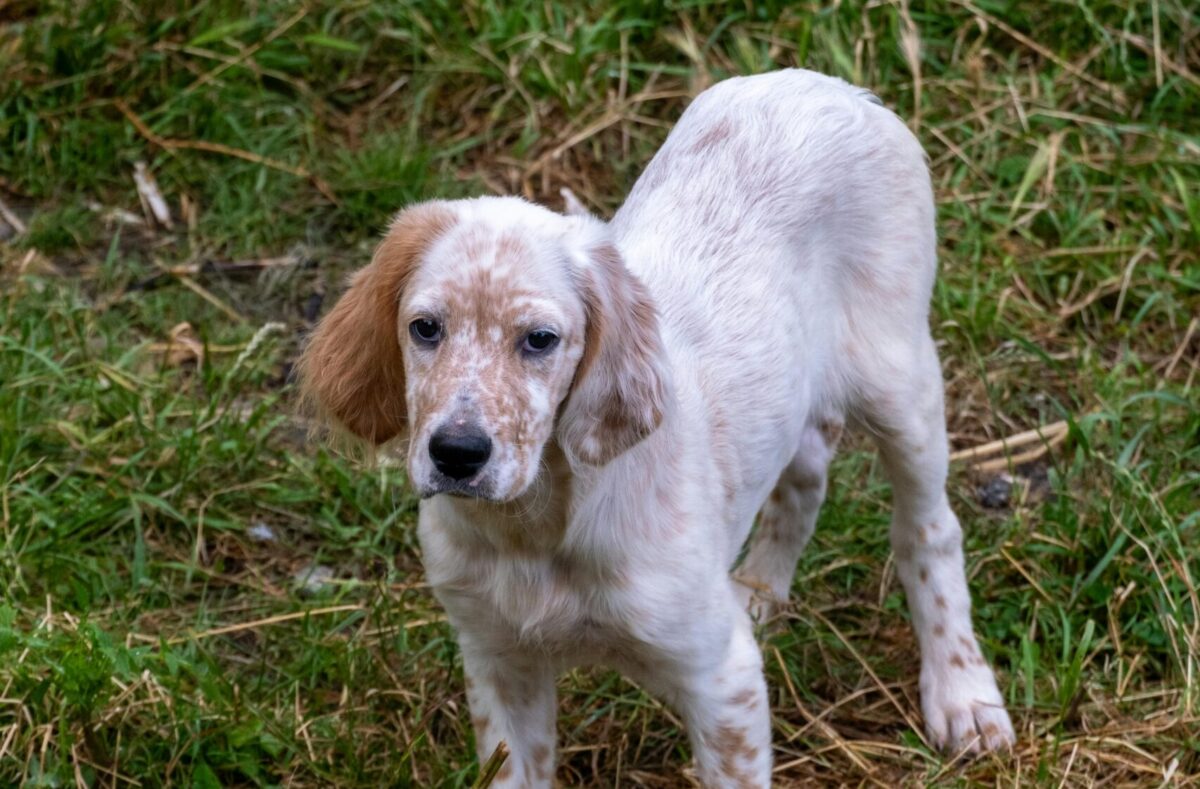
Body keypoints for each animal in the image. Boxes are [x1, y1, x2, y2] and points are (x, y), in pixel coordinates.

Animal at [300, 69, 1012, 786]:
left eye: (540, 339)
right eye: (425, 328)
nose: (457, 453)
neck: (537, 526)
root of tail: (829, 83)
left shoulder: (721, 675)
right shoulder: (498, 664)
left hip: (900, 384)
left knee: (929, 529)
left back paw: (962, 692)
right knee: (806, 471)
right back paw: (760, 588)